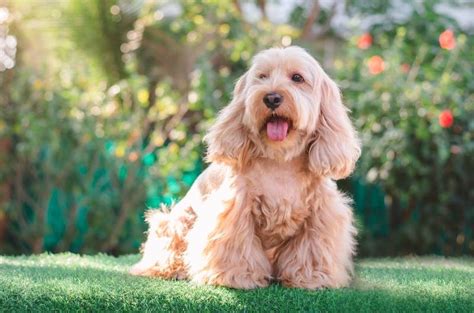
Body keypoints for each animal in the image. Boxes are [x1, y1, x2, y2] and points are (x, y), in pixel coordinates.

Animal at [130, 45, 360, 288]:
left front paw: (312, 278)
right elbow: (237, 246)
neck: (280, 161)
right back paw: (172, 269)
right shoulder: (235, 210)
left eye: (297, 78)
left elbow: (311, 249)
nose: (271, 97)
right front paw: (237, 277)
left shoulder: (320, 214)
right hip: (176, 222)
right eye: (262, 77)